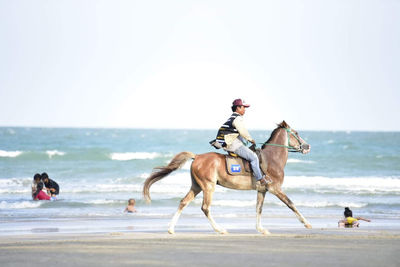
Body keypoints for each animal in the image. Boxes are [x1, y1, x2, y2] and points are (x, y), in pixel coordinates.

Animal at [144, 121, 312, 234]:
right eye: (296, 133)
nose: (307, 146)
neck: (272, 158)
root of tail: (197, 156)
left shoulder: (262, 190)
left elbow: (259, 208)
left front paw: (261, 229)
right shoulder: (275, 188)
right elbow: (290, 204)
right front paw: (306, 223)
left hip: (196, 186)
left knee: (183, 202)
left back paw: (171, 229)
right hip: (208, 186)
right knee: (205, 207)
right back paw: (220, 229)